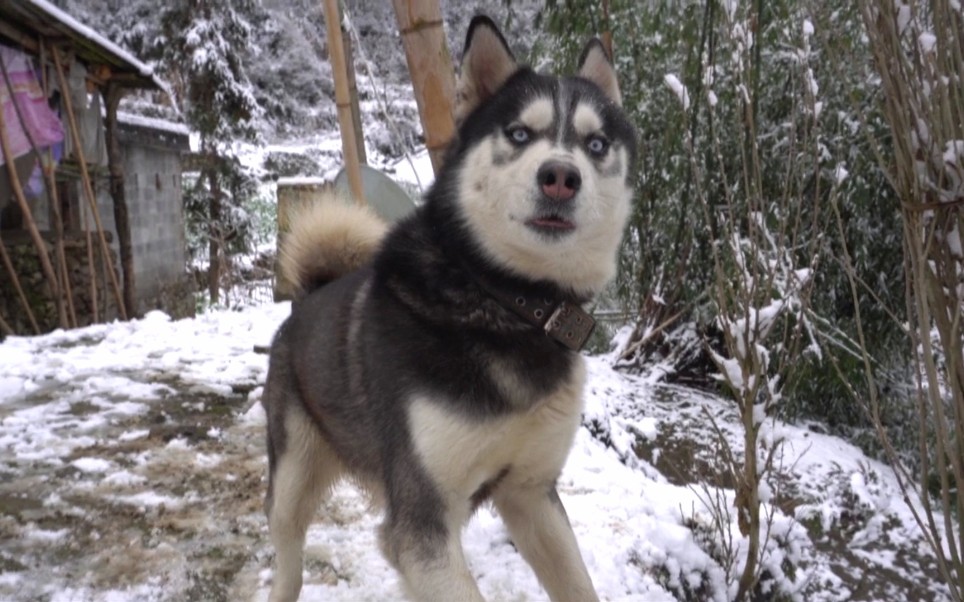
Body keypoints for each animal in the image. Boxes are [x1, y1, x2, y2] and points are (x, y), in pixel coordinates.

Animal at [264, 14, 640, 600]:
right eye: (518, 133)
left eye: (596, 143)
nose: (561, 176)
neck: (507, 300)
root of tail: (309, 294)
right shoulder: (421, 524)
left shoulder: (532, 494)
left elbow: (578, 583)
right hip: (291, 480)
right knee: (288, 558)